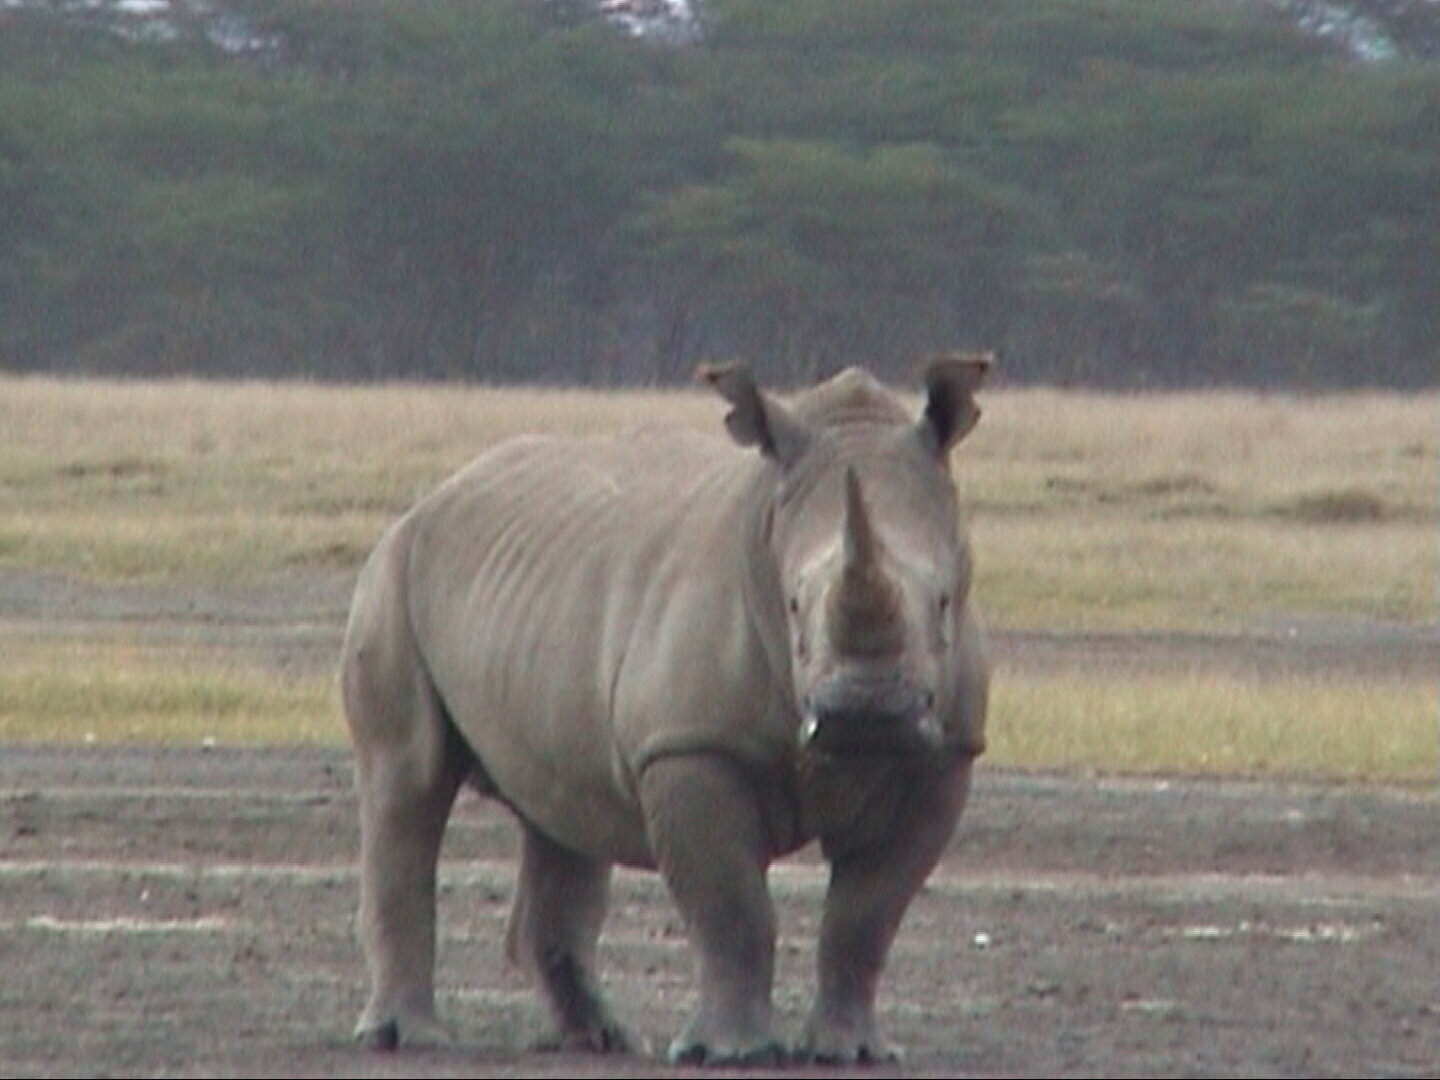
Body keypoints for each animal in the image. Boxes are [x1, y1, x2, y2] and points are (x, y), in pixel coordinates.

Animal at [340, 357, 991, 1065]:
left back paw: (600, 1039)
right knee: (408, 783)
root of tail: (436, 495)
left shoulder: (945, 757)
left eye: (945, 602)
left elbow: (865, 916)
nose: (863, 710)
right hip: (392, 571)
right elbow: (732, 908)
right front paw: (730, 1053)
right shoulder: (690, 746)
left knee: (563, 812)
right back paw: (407, 1039)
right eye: (792, 605)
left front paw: (851, 1054)